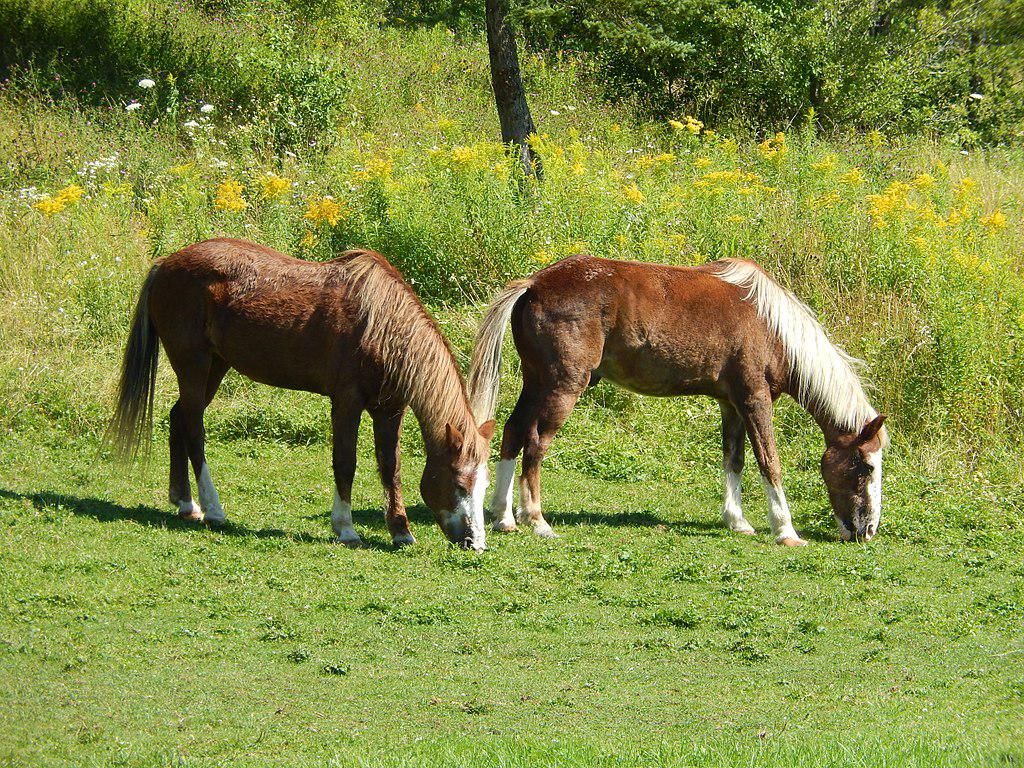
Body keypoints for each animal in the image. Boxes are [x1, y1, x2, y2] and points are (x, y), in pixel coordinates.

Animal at [110, 237, 493, 548]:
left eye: (484, 486)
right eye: (459, 484)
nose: (475, 543)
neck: (381, 326)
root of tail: (166, 263)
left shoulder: (389, 409)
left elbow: (390, 467)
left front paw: (401, 531)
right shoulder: (346, 402)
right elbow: (345, 462)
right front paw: (346, 528)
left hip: (215, 367)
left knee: (179, 418)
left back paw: (185, 503)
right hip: (193, 364)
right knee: (193, 429)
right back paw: (213, 509)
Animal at [468, 259, 884, 548]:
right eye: (866, 467)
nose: (867, 530)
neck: (769, 325)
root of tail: (534, 284)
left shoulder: (731, 404)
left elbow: (734, 460)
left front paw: (737, 521)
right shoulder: (755, 400)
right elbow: (770, 462)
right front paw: (786, 531)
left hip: (536, 383)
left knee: (512, 432)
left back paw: (504, 516)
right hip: (563, 387)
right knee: (536, 443)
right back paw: (536, 520)